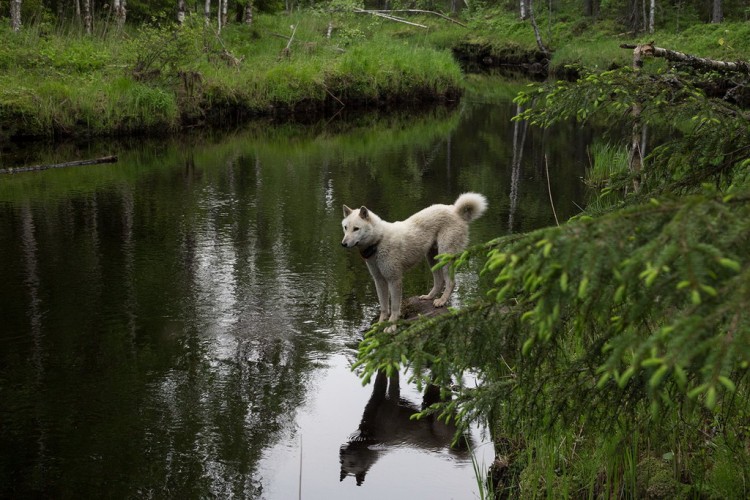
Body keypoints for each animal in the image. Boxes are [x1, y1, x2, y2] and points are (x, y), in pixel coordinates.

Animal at [344, 191, 490, 332]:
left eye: (356, 228)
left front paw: (391, 326)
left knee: (450, 282)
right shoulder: (379, 280)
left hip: (444, 257)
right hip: (432, 258)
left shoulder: (394, 280)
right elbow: (384, 307)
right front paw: (379, 325)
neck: (378, 241)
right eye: (345, 227)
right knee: (439, 281)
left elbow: (395, 307)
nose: (343, 244)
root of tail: (456, 211)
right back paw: (429, 297)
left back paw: (441, 301)